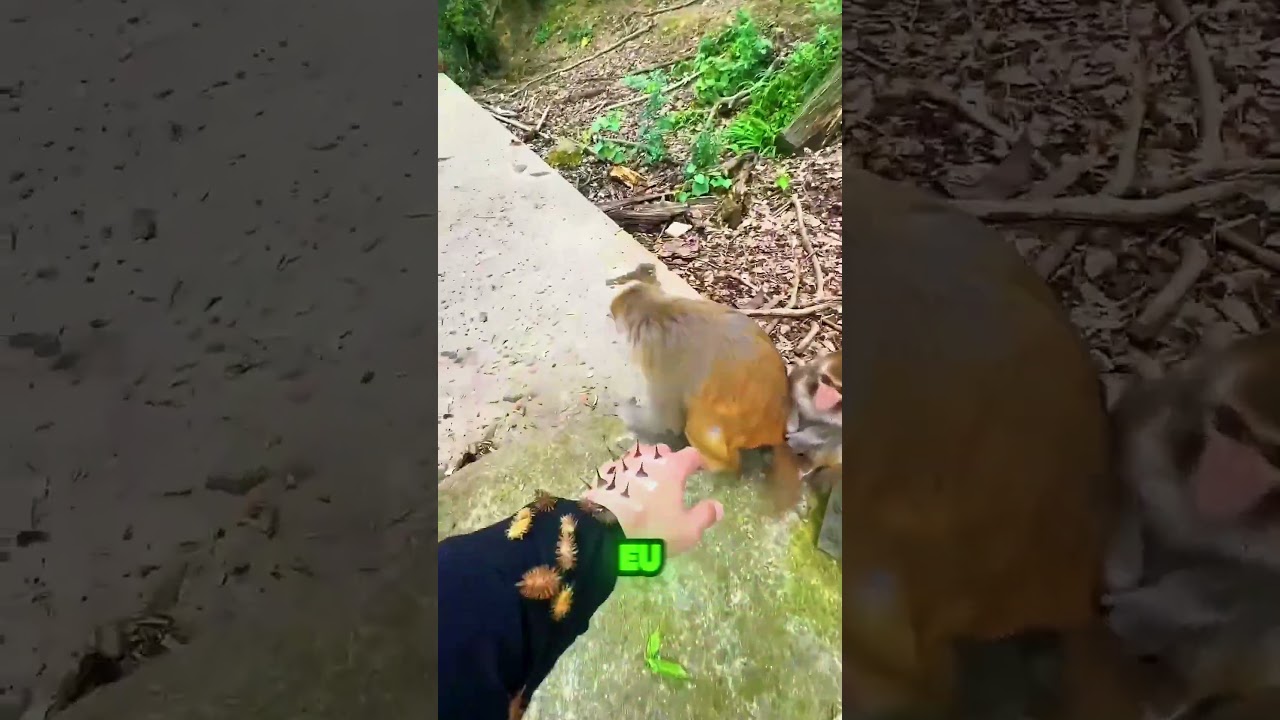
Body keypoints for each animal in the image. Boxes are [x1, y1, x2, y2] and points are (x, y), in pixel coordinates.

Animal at [605, 262, 803, 511]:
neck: (660, 310)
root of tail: (776, 428)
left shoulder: (658, 355)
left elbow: (667, 420)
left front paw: (626, 412)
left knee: (700, 430)